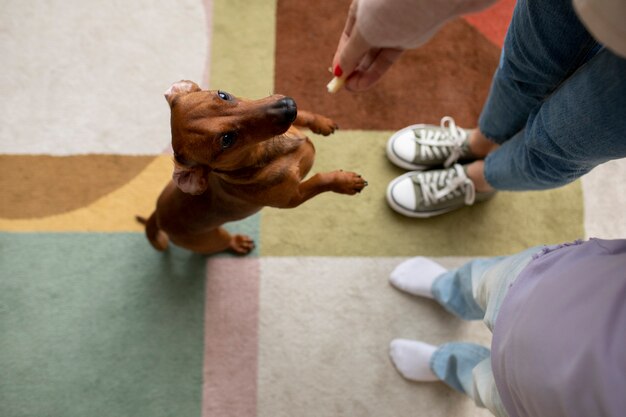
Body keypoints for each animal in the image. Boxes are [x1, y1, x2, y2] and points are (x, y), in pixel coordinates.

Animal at [134, 78, 364, 254]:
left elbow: (306, 117)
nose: (289, 106)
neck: (272, 152)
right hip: (212, 239)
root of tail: (157, 216)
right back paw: (238, 244)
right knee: (224, 242)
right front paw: (345, 182)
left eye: (223, 95)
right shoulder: (294, 198)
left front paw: (321, 123)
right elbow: (320, 181)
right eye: (227, 139)